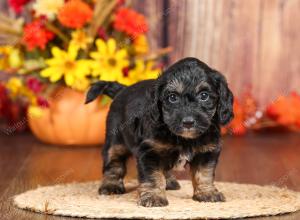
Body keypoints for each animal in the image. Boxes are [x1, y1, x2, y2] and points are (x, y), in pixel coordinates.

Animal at [85, 57, 233, 207]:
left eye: (204, 96)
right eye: (172, 97)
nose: (188, 122)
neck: (182, 138)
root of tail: (123, 89)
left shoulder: (207, 151)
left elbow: (204, 173)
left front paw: (207, 193)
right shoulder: (150, 152)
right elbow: (153, 176)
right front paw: (154, 196)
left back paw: (169, 181)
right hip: (115, 140)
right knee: (114, 162)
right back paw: (111, 185)